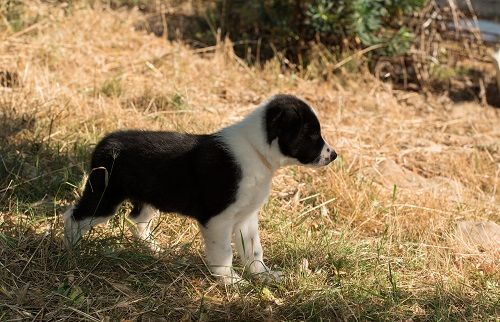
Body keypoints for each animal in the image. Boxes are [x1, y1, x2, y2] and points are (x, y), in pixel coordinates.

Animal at [62, 93, 336, 284]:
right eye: (312, 135)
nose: (334, 155)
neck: (256, 150)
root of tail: (105, 143)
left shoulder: (246, 217)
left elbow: (254, 250)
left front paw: (263, 276)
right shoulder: (218, 219)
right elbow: (224, 253)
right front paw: (230, 281)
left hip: (148, 198)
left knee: (136, 219)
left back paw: (153, 247)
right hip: (104, 197)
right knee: (74, 216)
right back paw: (70, 250)